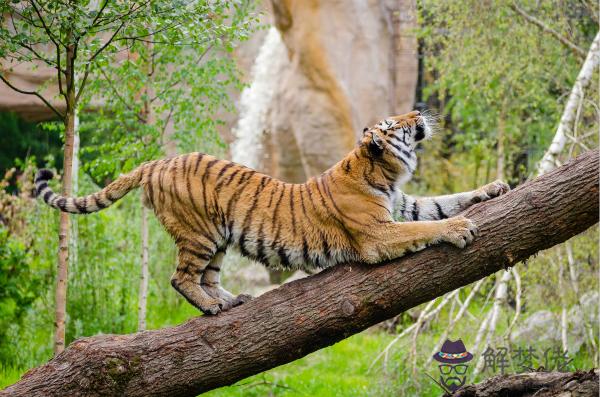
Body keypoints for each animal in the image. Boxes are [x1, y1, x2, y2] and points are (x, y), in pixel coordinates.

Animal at [35, 110, 508, 314]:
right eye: (397, 124)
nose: (418, 112)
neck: (385, 173)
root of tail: (156, 162)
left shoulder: (404, 206)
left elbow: (443, 201)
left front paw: (494, 187)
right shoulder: (377, 234)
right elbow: (430, 224)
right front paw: (461, 228)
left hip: (219, 239)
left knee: (208, 277)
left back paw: (230, 300)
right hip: (200, 233)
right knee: (181, 277)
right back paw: (211, 308)